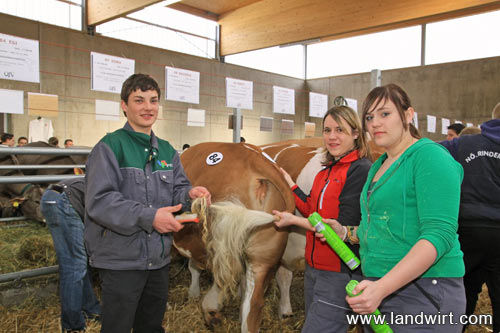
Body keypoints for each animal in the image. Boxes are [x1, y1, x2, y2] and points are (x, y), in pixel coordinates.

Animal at [175, 141, 294, 330]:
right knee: (252, 308)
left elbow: (193, 268)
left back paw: (211, 311)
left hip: (217, 247)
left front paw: (193, 293)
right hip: (262, 258)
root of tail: (255, 158)